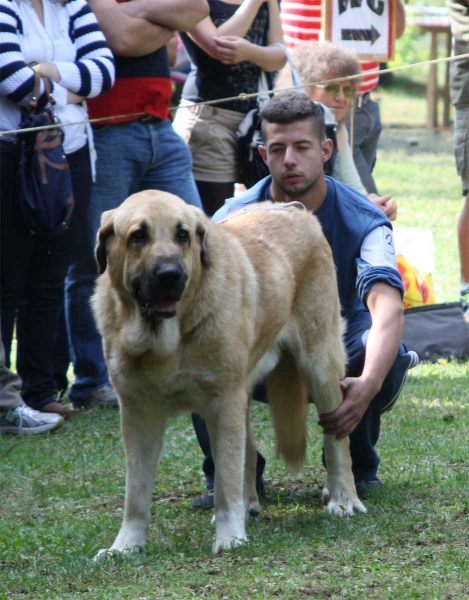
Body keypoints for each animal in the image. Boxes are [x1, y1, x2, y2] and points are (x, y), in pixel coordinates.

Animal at [92, 190, 366, 556]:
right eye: (138, 236)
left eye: (183, 235)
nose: (170, 274)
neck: (167, 339)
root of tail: (296, 209)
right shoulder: (138, 414)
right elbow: (135, 492)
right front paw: (125, 545)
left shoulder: (223, 402)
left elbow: (226, 479)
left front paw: (229, 536)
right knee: (247, 454)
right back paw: (250, 505)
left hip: (319, 364)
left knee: (336, 439)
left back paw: (343, 498)